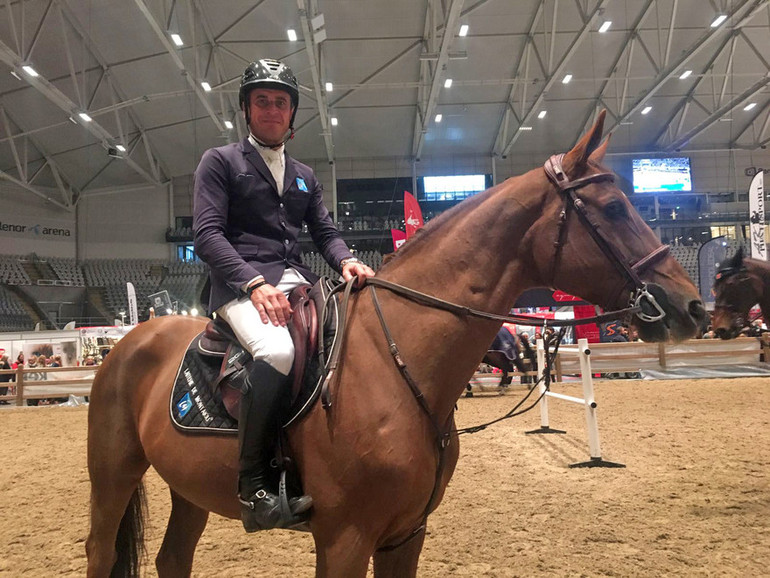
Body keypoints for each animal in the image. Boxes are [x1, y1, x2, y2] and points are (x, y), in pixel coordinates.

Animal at [87, 110, 704, 572]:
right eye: (614, 208)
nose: (692, 306)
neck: (397, 362)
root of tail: (129, 342)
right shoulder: (345, 538)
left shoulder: (407, 533)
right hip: (113, 472)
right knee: (101, 550)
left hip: (187, 486)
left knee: (172, 559)